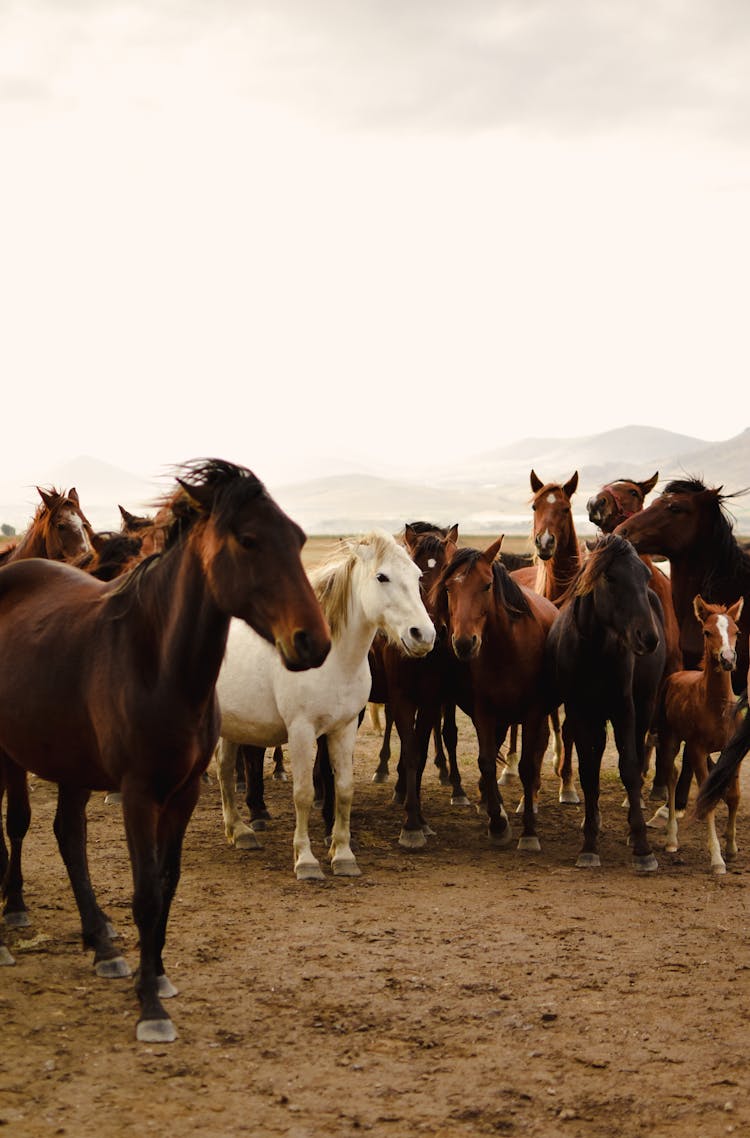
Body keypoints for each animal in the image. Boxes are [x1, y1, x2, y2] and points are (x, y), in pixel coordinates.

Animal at [0, 459, 330, 1042]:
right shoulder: (137, 795)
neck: (157, 666)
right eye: (248, 540)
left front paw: (152, 975)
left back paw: (100, 942)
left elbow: (166, 885)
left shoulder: (182, 793)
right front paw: (151, 1008)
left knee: (68, 835)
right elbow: (146, 892)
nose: (313, 640)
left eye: (298, 539)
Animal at [212, 530, 434, 878]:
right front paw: (306, 860)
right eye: (382, 577)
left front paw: (343, 855)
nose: (423, 635)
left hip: (232, 725)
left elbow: (343, 789)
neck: (332, 660)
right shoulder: (301, 731)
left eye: (417, 576)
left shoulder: (344, 728)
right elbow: (304, 794)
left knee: (223, 768)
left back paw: (240, 831)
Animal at [430, 537, 559, 851]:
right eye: (448, 588)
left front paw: (529, 832)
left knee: (538, 750)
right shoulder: (485, 712)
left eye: (487, 585)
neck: (507, 648)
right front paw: (497, 822)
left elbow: (527, 765)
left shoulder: (533, 713)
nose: (464, 643)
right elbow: (486, 762)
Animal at [541, 532, 664, 869]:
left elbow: (630, 768)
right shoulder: (580, 712)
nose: (648, 637)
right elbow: (588, 771)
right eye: (610, 577)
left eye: (645, 575)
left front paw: (642, 846)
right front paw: (589, 844)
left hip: (644, 707)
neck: (594, 651)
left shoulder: (625, 710)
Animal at [655, 596, 746, 869]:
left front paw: (731, 848)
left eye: (737, 632)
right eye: (707, 632)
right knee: (671, 775)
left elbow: (733, 795)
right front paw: (717, 858)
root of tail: (677, 674)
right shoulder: (697, 750)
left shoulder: (732, 752)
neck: (716, 707)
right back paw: (671, 839)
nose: (728, 659)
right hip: (671, 738)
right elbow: (707, 800)